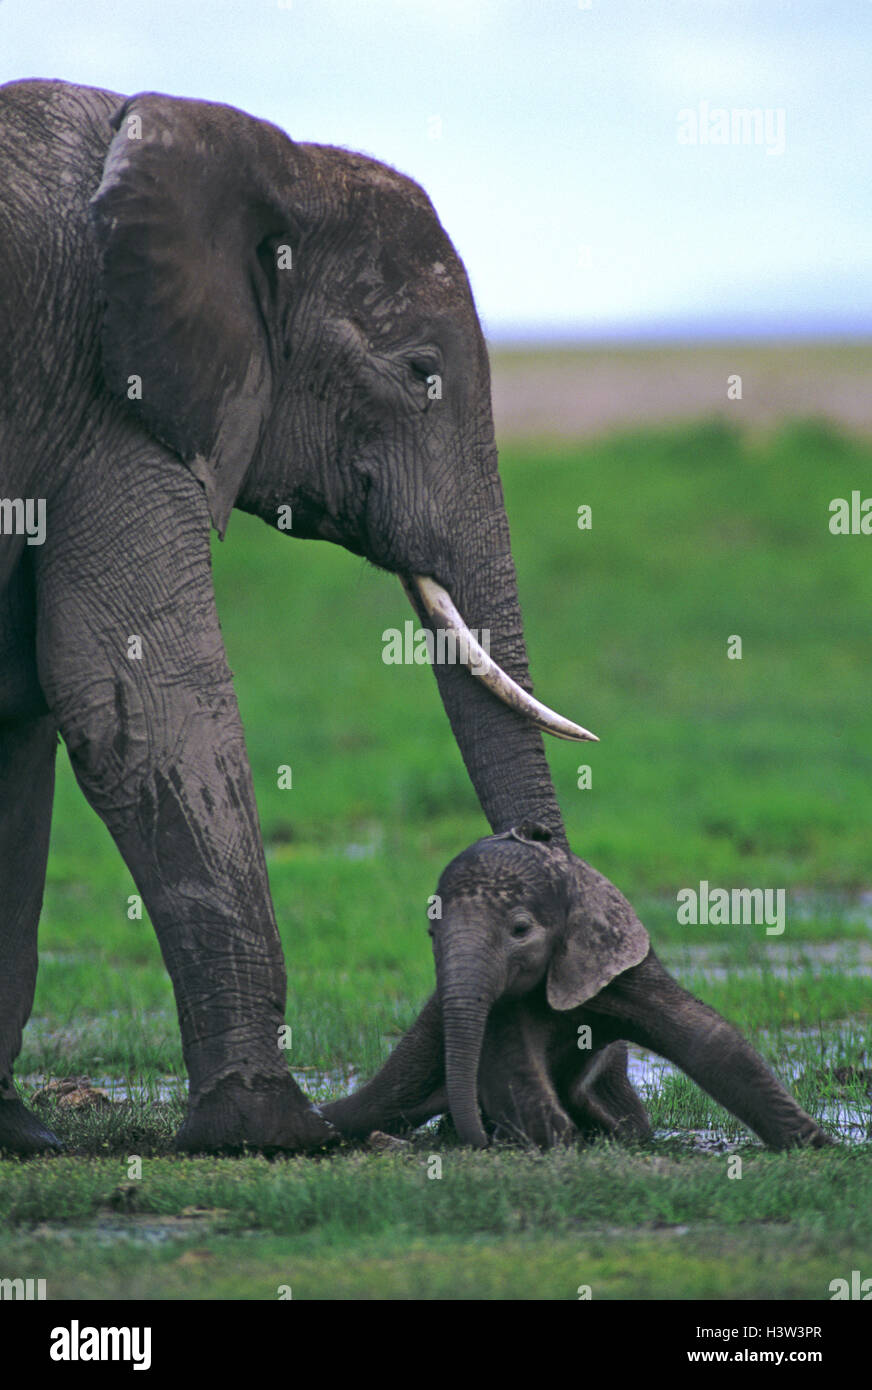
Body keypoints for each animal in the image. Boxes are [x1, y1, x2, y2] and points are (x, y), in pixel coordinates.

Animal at [0, 79, 598, 1156]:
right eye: (419, 372)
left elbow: (23, 701)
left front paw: (21, 1135)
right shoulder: (114, 394)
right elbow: (139, 699)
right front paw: (265, 1132)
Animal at [323, 824, 830, 1151]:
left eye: (520, 930)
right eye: (431, 934)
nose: (482, 1141)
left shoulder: (618, 966)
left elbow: (710, 1040)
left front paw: (820, 1147)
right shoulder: (506, 1007)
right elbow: (518, 1074)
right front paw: (560, 1143)